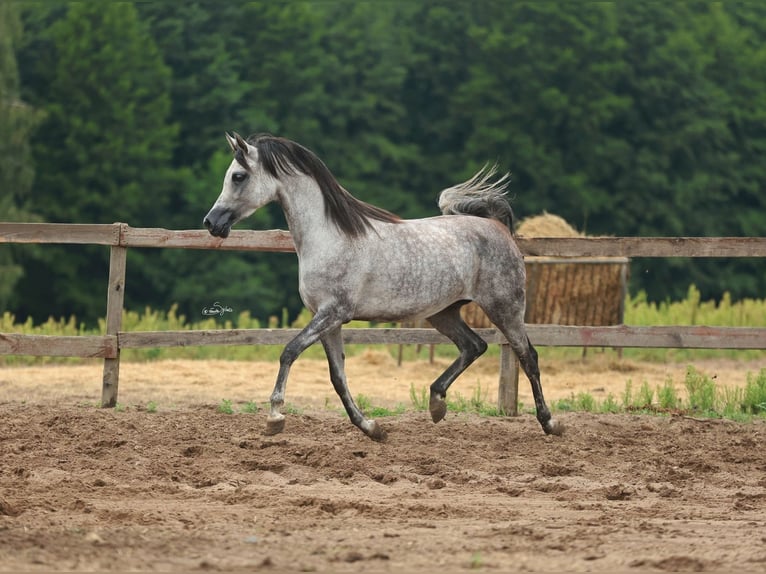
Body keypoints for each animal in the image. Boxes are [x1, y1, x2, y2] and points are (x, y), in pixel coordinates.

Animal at [204, 134, 564, 440]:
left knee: (527, 356)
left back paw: (550, 423)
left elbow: (289, 351)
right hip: (444, 313)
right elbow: (337, 376)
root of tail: (495, 225)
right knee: (474, 346)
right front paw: (371, 428)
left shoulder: (333, 312)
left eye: (238, 176)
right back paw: (437, 405)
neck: (329, 237)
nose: (211, 223)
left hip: (505, 307)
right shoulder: (329, 320)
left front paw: (275, 417)